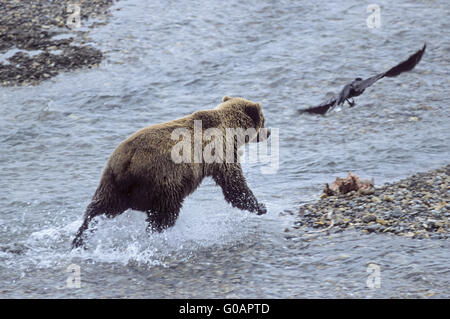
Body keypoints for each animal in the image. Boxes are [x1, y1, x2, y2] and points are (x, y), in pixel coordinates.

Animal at [72, 97, 268, 250]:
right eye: (264, 120)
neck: (230, 130)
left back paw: (80, 238)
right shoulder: (219, 151)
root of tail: (127, 164)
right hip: (164, 182)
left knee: (99, 207)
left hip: (112, 182)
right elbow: (234, 183)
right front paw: (260, 206)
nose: (269, 132)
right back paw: (157, 237)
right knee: (164, 215)